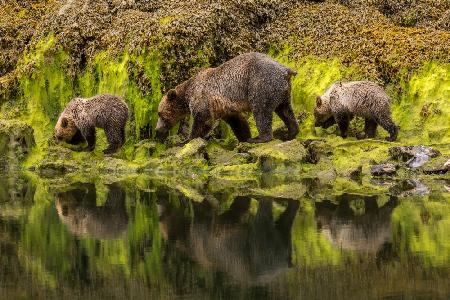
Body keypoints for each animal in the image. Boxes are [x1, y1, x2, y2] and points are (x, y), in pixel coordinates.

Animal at [155, 52, 298, 143]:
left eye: (160, 114)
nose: (157, 130)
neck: (187, 93)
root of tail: (286, 70)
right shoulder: (226, 107)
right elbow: (238, 121)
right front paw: (244, 137)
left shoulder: (202, 96)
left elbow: (203, 118)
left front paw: (186, 139)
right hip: (283, 92)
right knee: (286, 111)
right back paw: (291, 133)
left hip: (260, 83)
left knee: (261, 111)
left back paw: (259, 138)